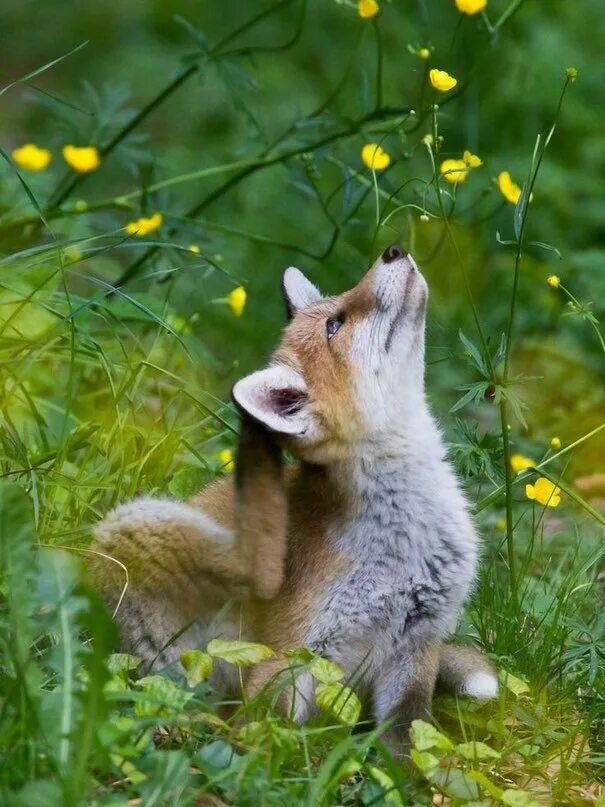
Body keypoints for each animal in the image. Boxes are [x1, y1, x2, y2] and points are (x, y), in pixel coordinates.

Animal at [89, 245, 496, 744]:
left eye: (339, 307)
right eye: (335, 324)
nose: (393, 250)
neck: (403, 545)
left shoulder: (417, 646)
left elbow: (407, 741)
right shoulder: (291, 652)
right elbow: (264, 733)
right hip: (141, 527)